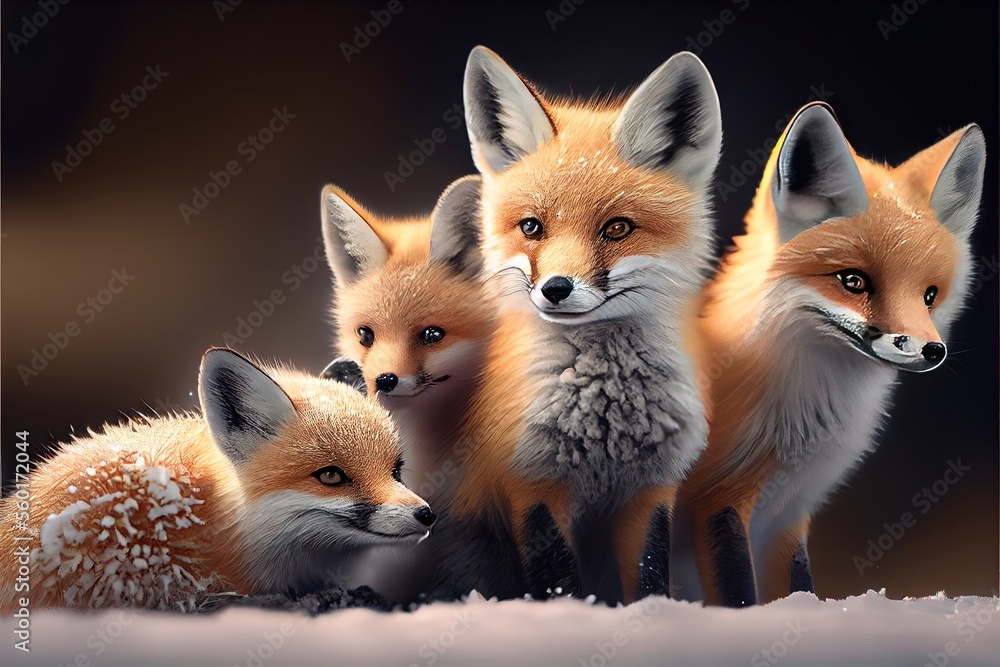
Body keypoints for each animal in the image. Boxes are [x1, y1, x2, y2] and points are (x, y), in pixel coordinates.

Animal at [436, 47, 723, 603]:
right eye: (531, 227)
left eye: (617, 228)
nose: (555, 289)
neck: (607, 418)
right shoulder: (532, 483)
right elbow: (558, 584)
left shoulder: (650, 489)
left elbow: (651, 579)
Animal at [672, 103, 986, 607]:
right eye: (853, 281)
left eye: (930, 296)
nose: (931, 350)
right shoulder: (717, 498)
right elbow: (739, 593)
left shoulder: (790, 510)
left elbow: (797, 587)